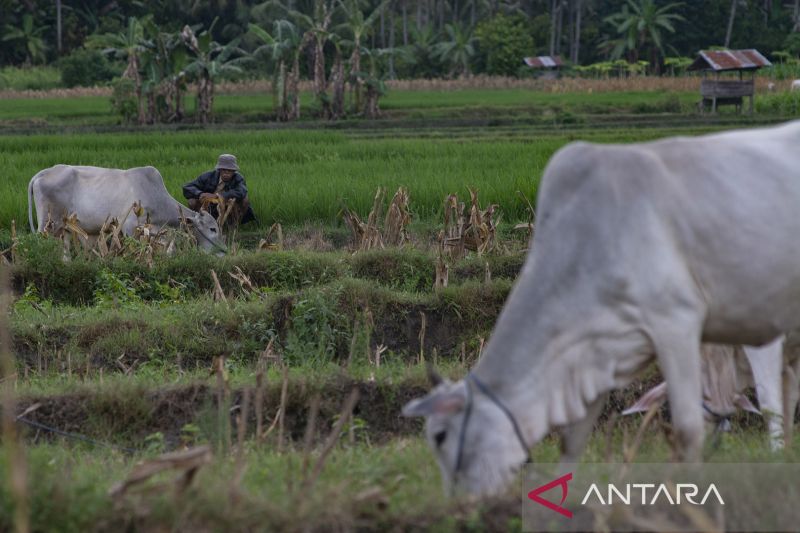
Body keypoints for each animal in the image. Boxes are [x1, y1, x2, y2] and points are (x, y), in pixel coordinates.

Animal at [28, 164, 225, 254]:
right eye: (212, 228)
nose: (222, 251)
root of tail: (43, 173)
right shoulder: (129, 227)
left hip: (66, 227)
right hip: (48, 223)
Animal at [404, 120, 800, 494]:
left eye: (440, 435)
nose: (462, 505)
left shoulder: (683, 324)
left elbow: (727, 419)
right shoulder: (595, 351)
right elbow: (572, 442)